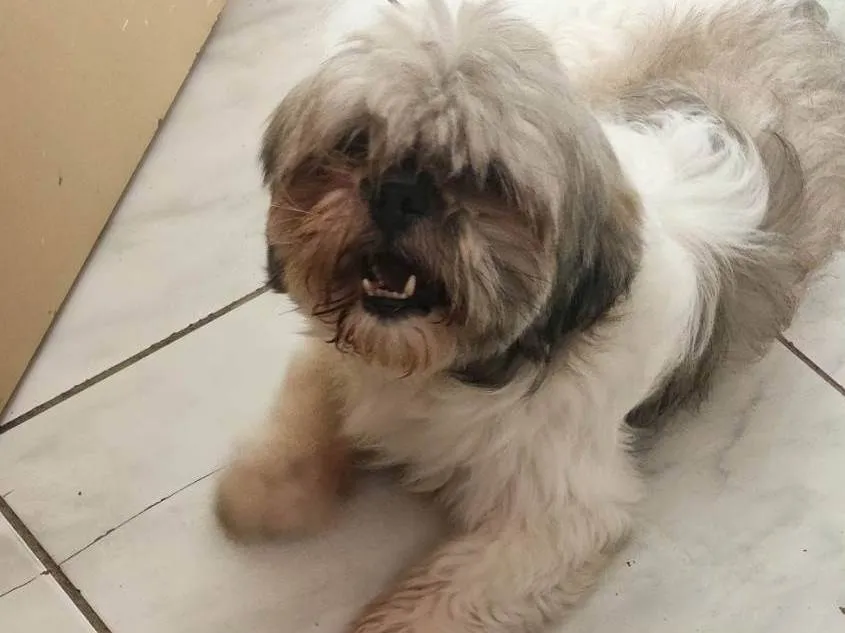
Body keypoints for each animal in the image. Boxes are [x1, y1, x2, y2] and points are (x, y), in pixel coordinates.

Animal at [215, 0, 845, 630]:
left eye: (486, 180)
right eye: (354, 143)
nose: (399, 192)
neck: (450, 367)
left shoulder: (560, 516)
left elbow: (441, 598)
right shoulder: (338, 354)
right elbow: (310, 400)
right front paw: (265, 488)